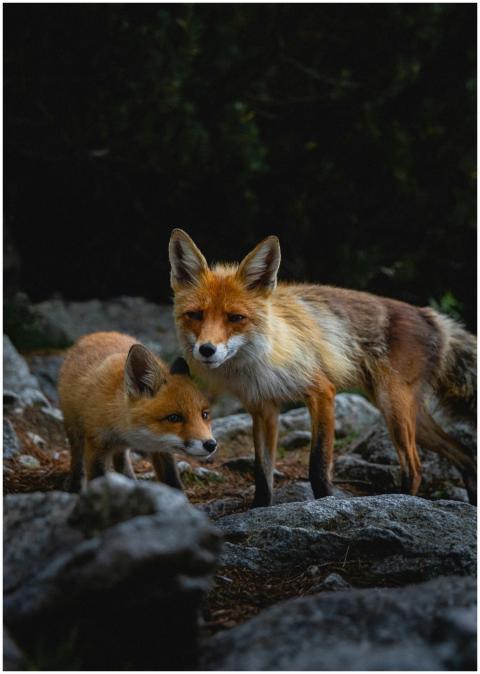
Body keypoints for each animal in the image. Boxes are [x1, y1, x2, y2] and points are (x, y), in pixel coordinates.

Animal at [58, 331, 217, 492]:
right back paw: (74, 484)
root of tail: (96, 334)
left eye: (205, 415)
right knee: (77, 459)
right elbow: (97, 479)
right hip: (74, 430)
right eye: (174, 418)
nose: (211, 445)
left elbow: (171, 479)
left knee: (121, 460)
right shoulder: (96, 444)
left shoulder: (161, 448)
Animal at [169, 228, 477, 507]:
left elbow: (317, 465)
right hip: (409, 415)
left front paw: (327, 502)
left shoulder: (321, 392)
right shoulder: (263, 407)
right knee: (465, 454)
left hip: (394, 409)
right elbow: (262, 473)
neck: (258, 362)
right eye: (195, 315)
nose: (206, 349)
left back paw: (401, 501)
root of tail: (430, 315)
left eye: (235, 318)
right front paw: (259, 509)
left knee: (415, 468)